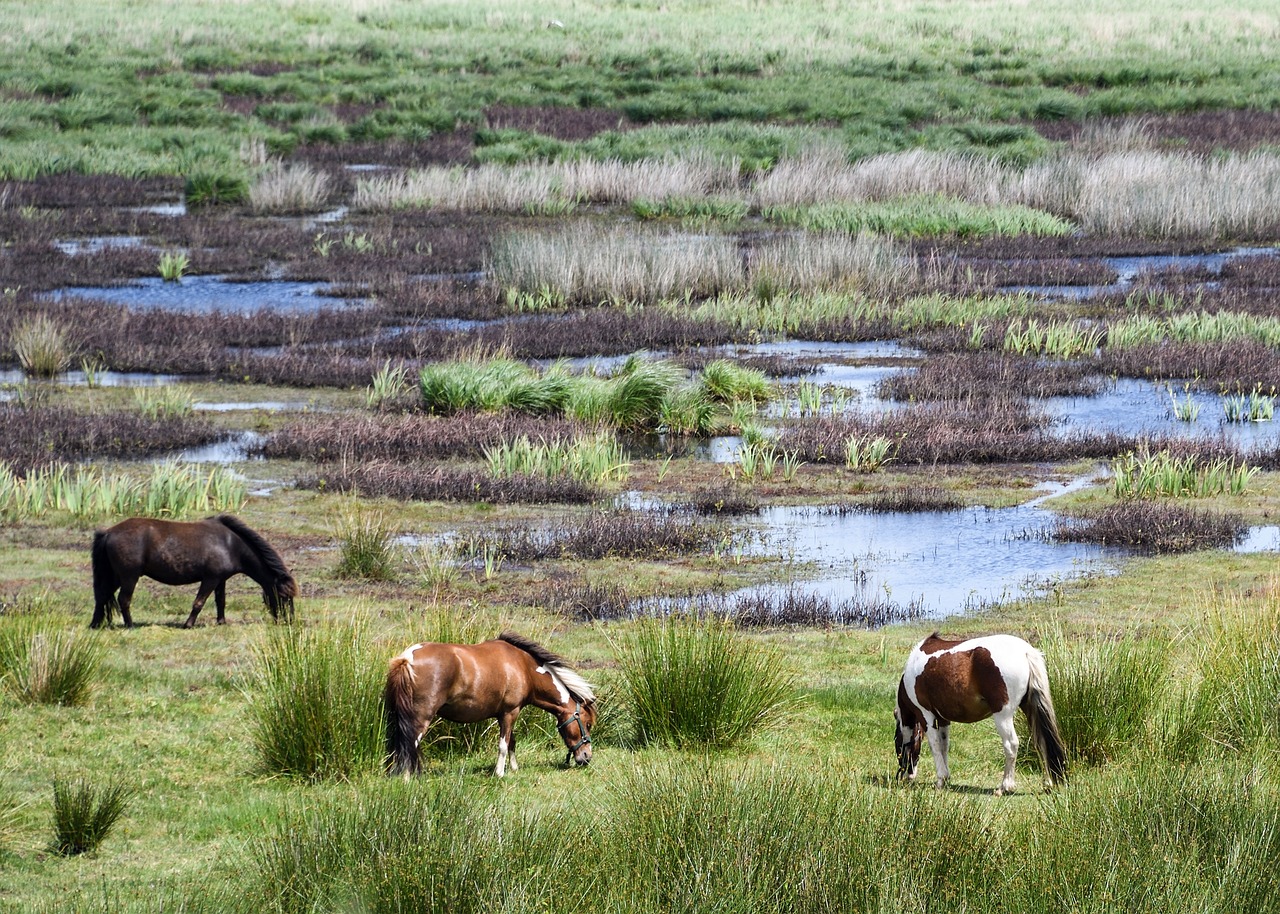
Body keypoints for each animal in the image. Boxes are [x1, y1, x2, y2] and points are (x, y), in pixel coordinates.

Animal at [92, 512, 296, 627]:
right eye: (284, 596)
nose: (290, 621)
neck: (230, 544)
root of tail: (108, 532)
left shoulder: (220, 579)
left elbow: (220, 601)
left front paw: (221, 622)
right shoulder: (210, 579)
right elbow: (199, 602)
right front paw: (188, 624)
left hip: (115, 576)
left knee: (102, 596)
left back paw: (95, 624)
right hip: (129, 577)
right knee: (123, 600)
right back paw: (130, 625)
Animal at [381, 634, 596, 778]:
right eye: (587, 723)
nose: (586, 756)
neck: (523, 666)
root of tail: (407, 658)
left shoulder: (506, 714)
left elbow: (511, 742)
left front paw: (514, 768)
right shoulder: (510, 713)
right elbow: (503, 745)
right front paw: (500, 773)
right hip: (420, 719)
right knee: (409, 746)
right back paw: (407, 779)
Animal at [896, 629, 1064, 793]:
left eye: (897, 741)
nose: (904, 776)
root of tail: (1026, 652)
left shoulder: (925, 715)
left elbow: (935, 745)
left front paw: (940, 780)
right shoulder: (943, 719)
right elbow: (944, 745)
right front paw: (946, 778)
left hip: (1003, 715)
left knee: (1011, 745)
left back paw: (1005, 787)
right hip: (1029, 709)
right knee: (1041, 741)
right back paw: (1048, 783)